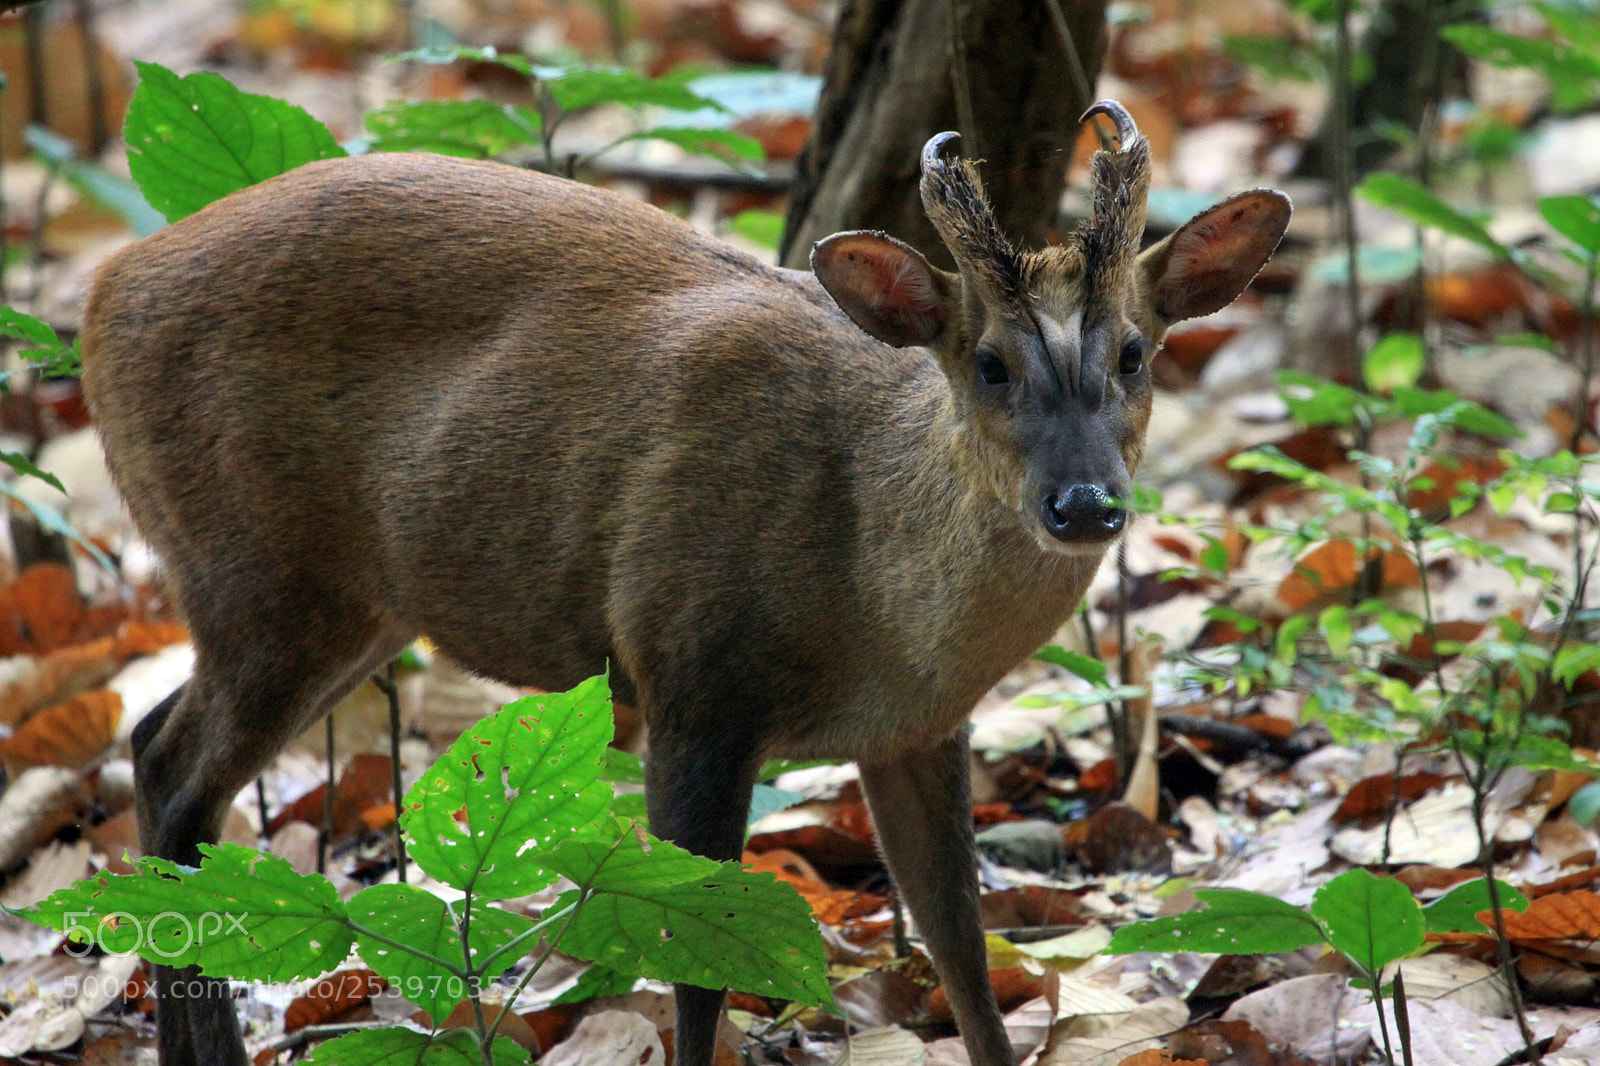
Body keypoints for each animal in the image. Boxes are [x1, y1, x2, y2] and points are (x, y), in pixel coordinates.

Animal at [80, 101, 1288, 1066]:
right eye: (988, 362)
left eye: (1134, 351)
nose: (1084, 504)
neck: (875, 603)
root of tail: (102, 289)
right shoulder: (692, 672)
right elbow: (699, 964)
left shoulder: (917, 726)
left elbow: (961, 945)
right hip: (256, 566)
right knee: (176, 771)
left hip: (351, 601)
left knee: (152, 744)